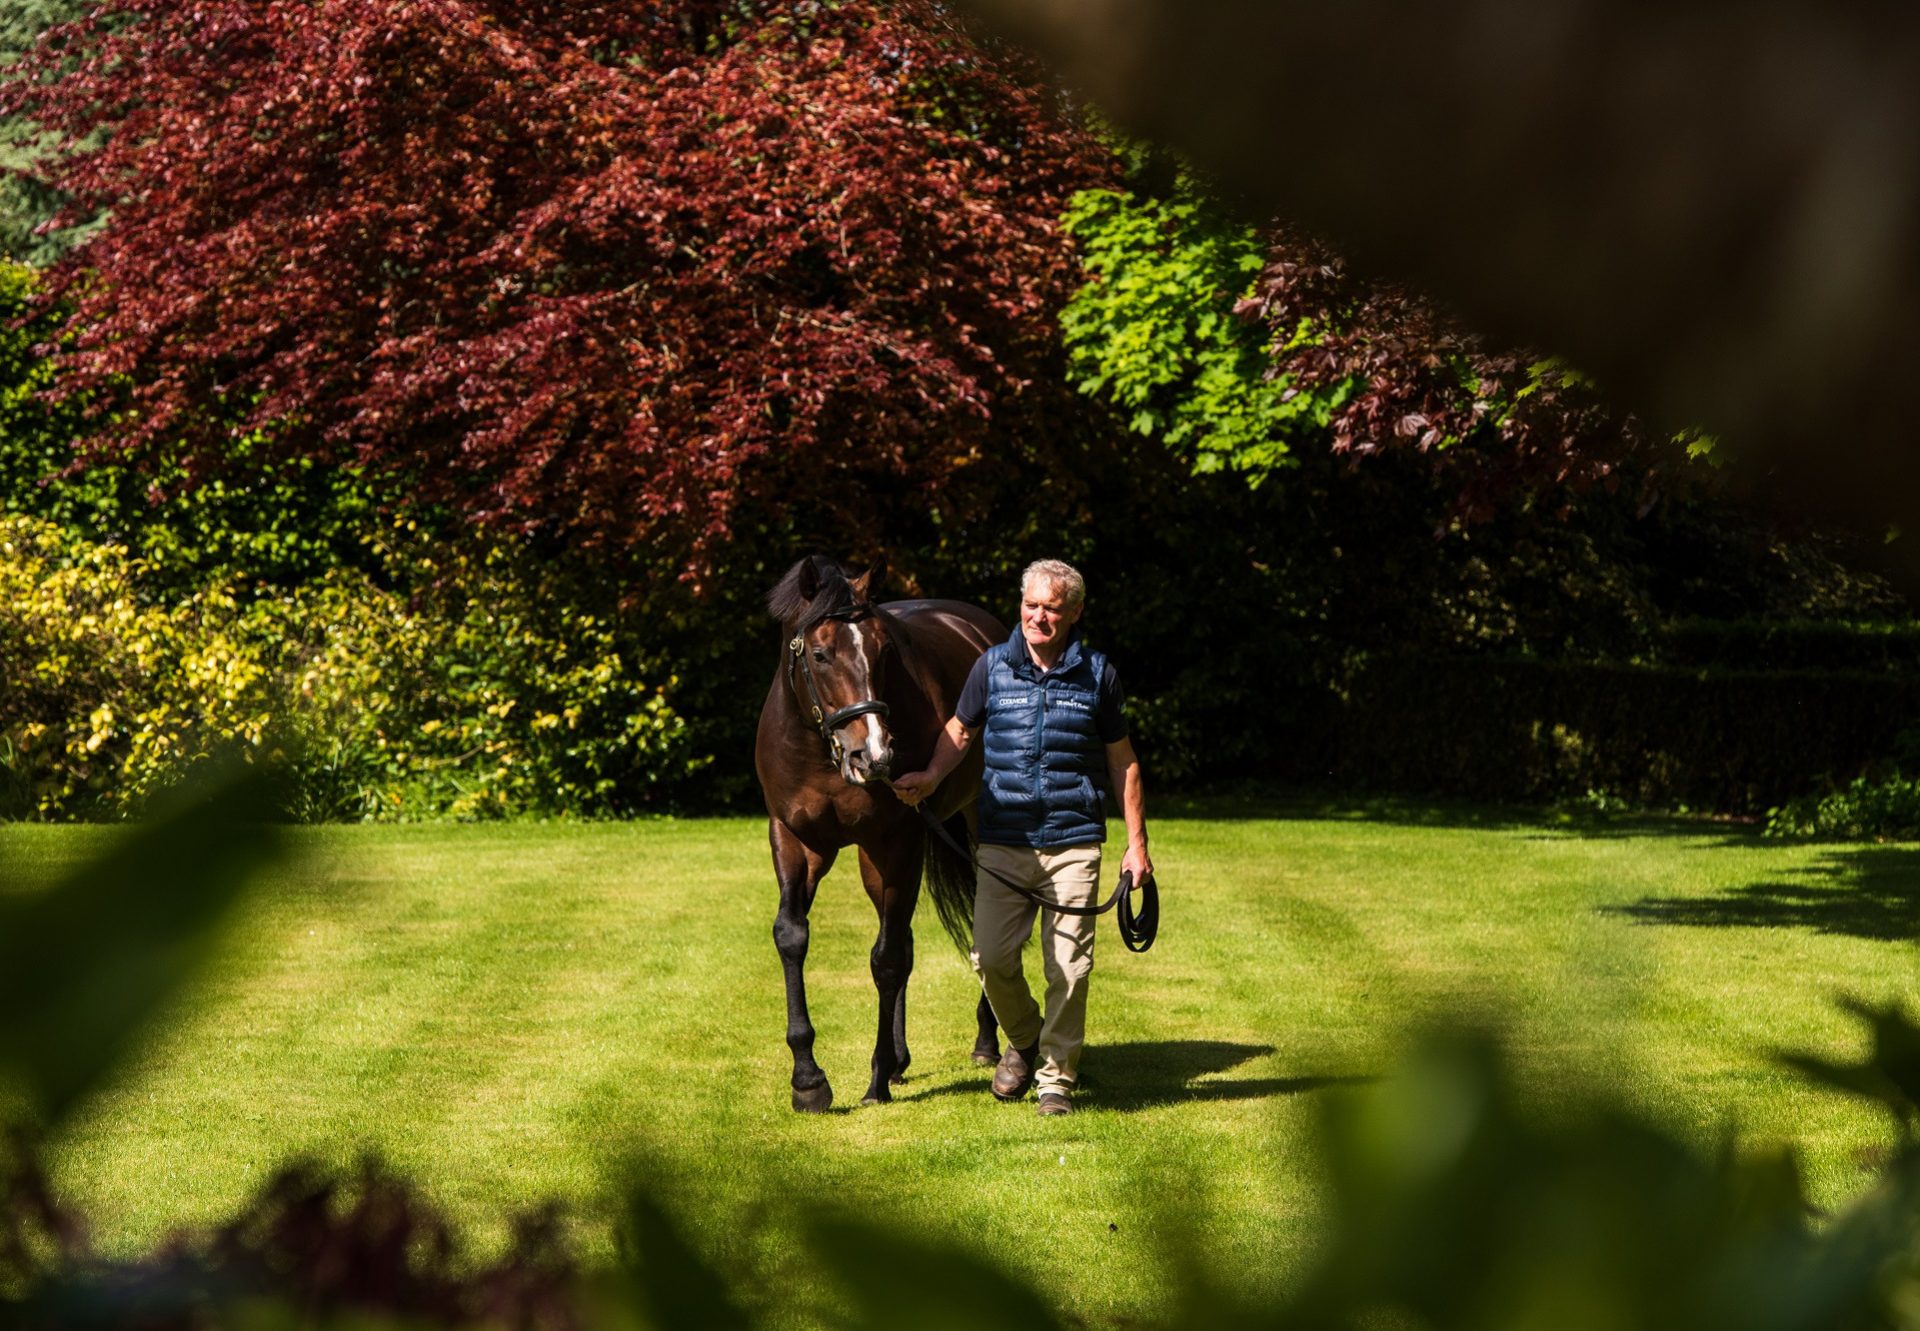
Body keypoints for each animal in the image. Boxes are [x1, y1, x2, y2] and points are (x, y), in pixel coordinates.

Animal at [756, 553, 1006, 1113]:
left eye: (884, 651)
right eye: (820, 654)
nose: (875, 755)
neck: (820, 751)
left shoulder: (895, 844)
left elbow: (886, 959)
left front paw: (874, 1081)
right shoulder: (794, 840)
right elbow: (792, 936)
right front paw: (808, 1080)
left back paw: (985, 1042)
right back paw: (901, 1058)